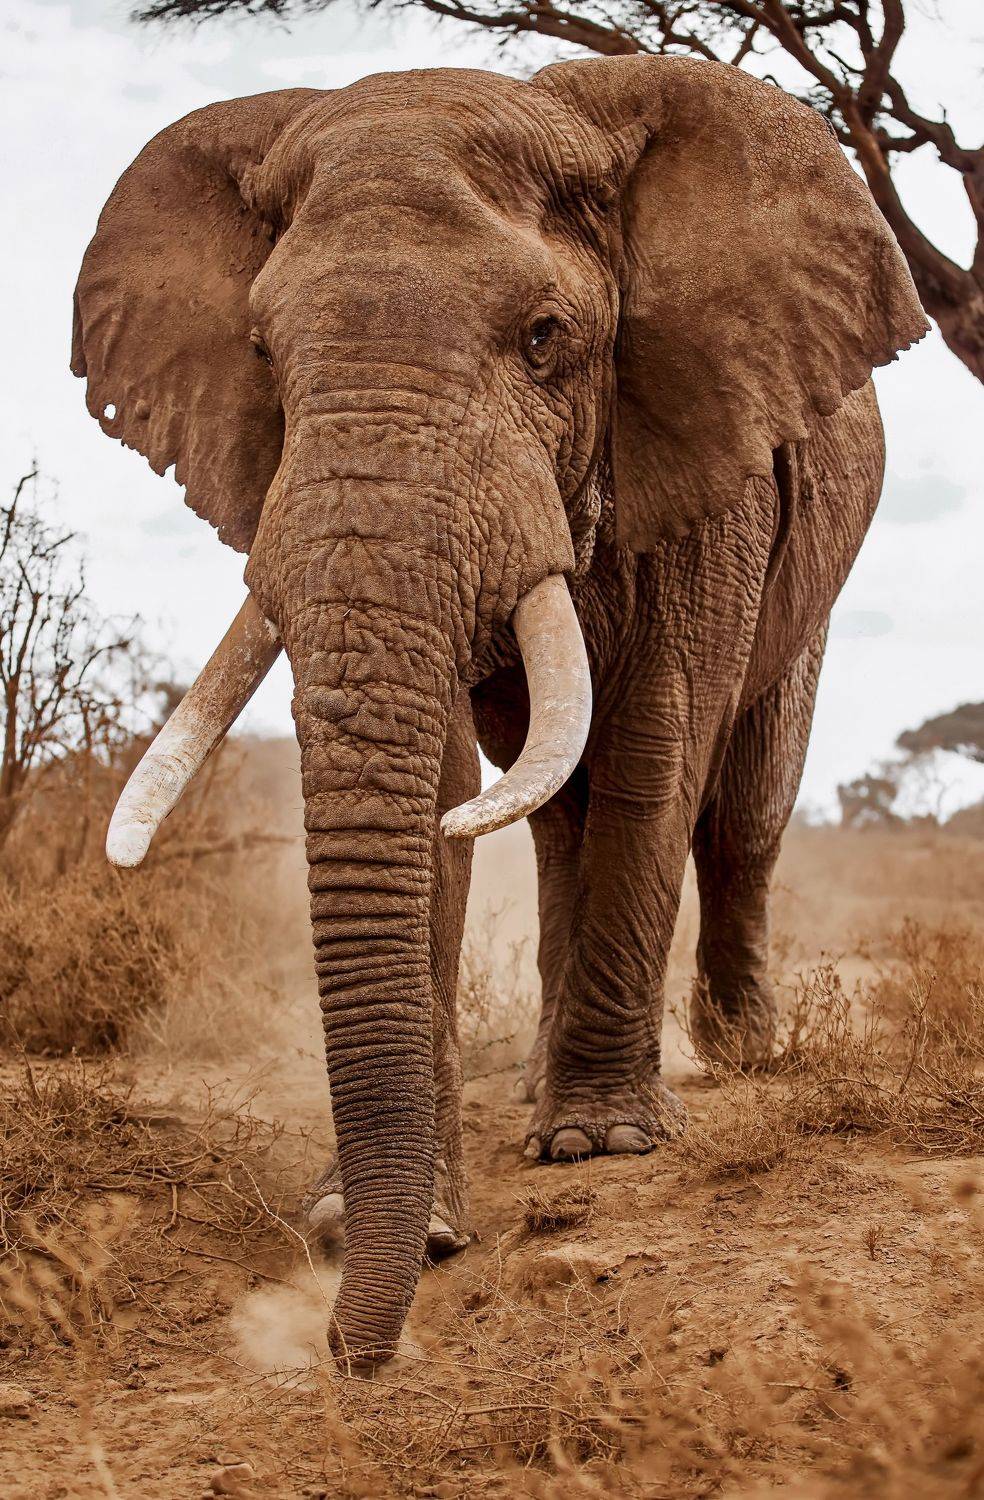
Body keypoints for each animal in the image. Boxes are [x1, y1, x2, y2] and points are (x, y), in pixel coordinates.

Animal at [71, 56, 926, 1366]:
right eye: (261, 350)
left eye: (545, 339)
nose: (348, 1357)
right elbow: (442, 789)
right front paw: (396, 1218)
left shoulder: (703, 439)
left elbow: (658, 740)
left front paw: (602, 1148)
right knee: (558, 811)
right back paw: (539, 1082)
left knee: (743, 804)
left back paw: (736, 1052)